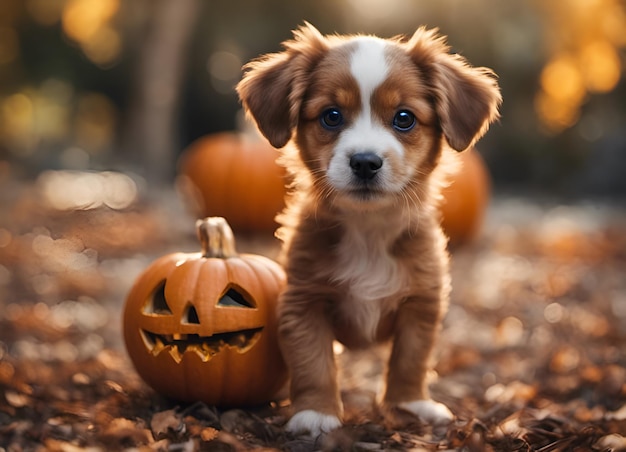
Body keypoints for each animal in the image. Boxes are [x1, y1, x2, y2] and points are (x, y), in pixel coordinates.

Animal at [236, 23, 500, 436]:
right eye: (331, 116)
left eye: (404, 118)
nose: (364, 162)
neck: (369, 229)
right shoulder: (304, 302)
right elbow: (313, 363)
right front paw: (316, 414)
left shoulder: (421, 303)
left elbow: (410, 360)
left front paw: (411, 404)